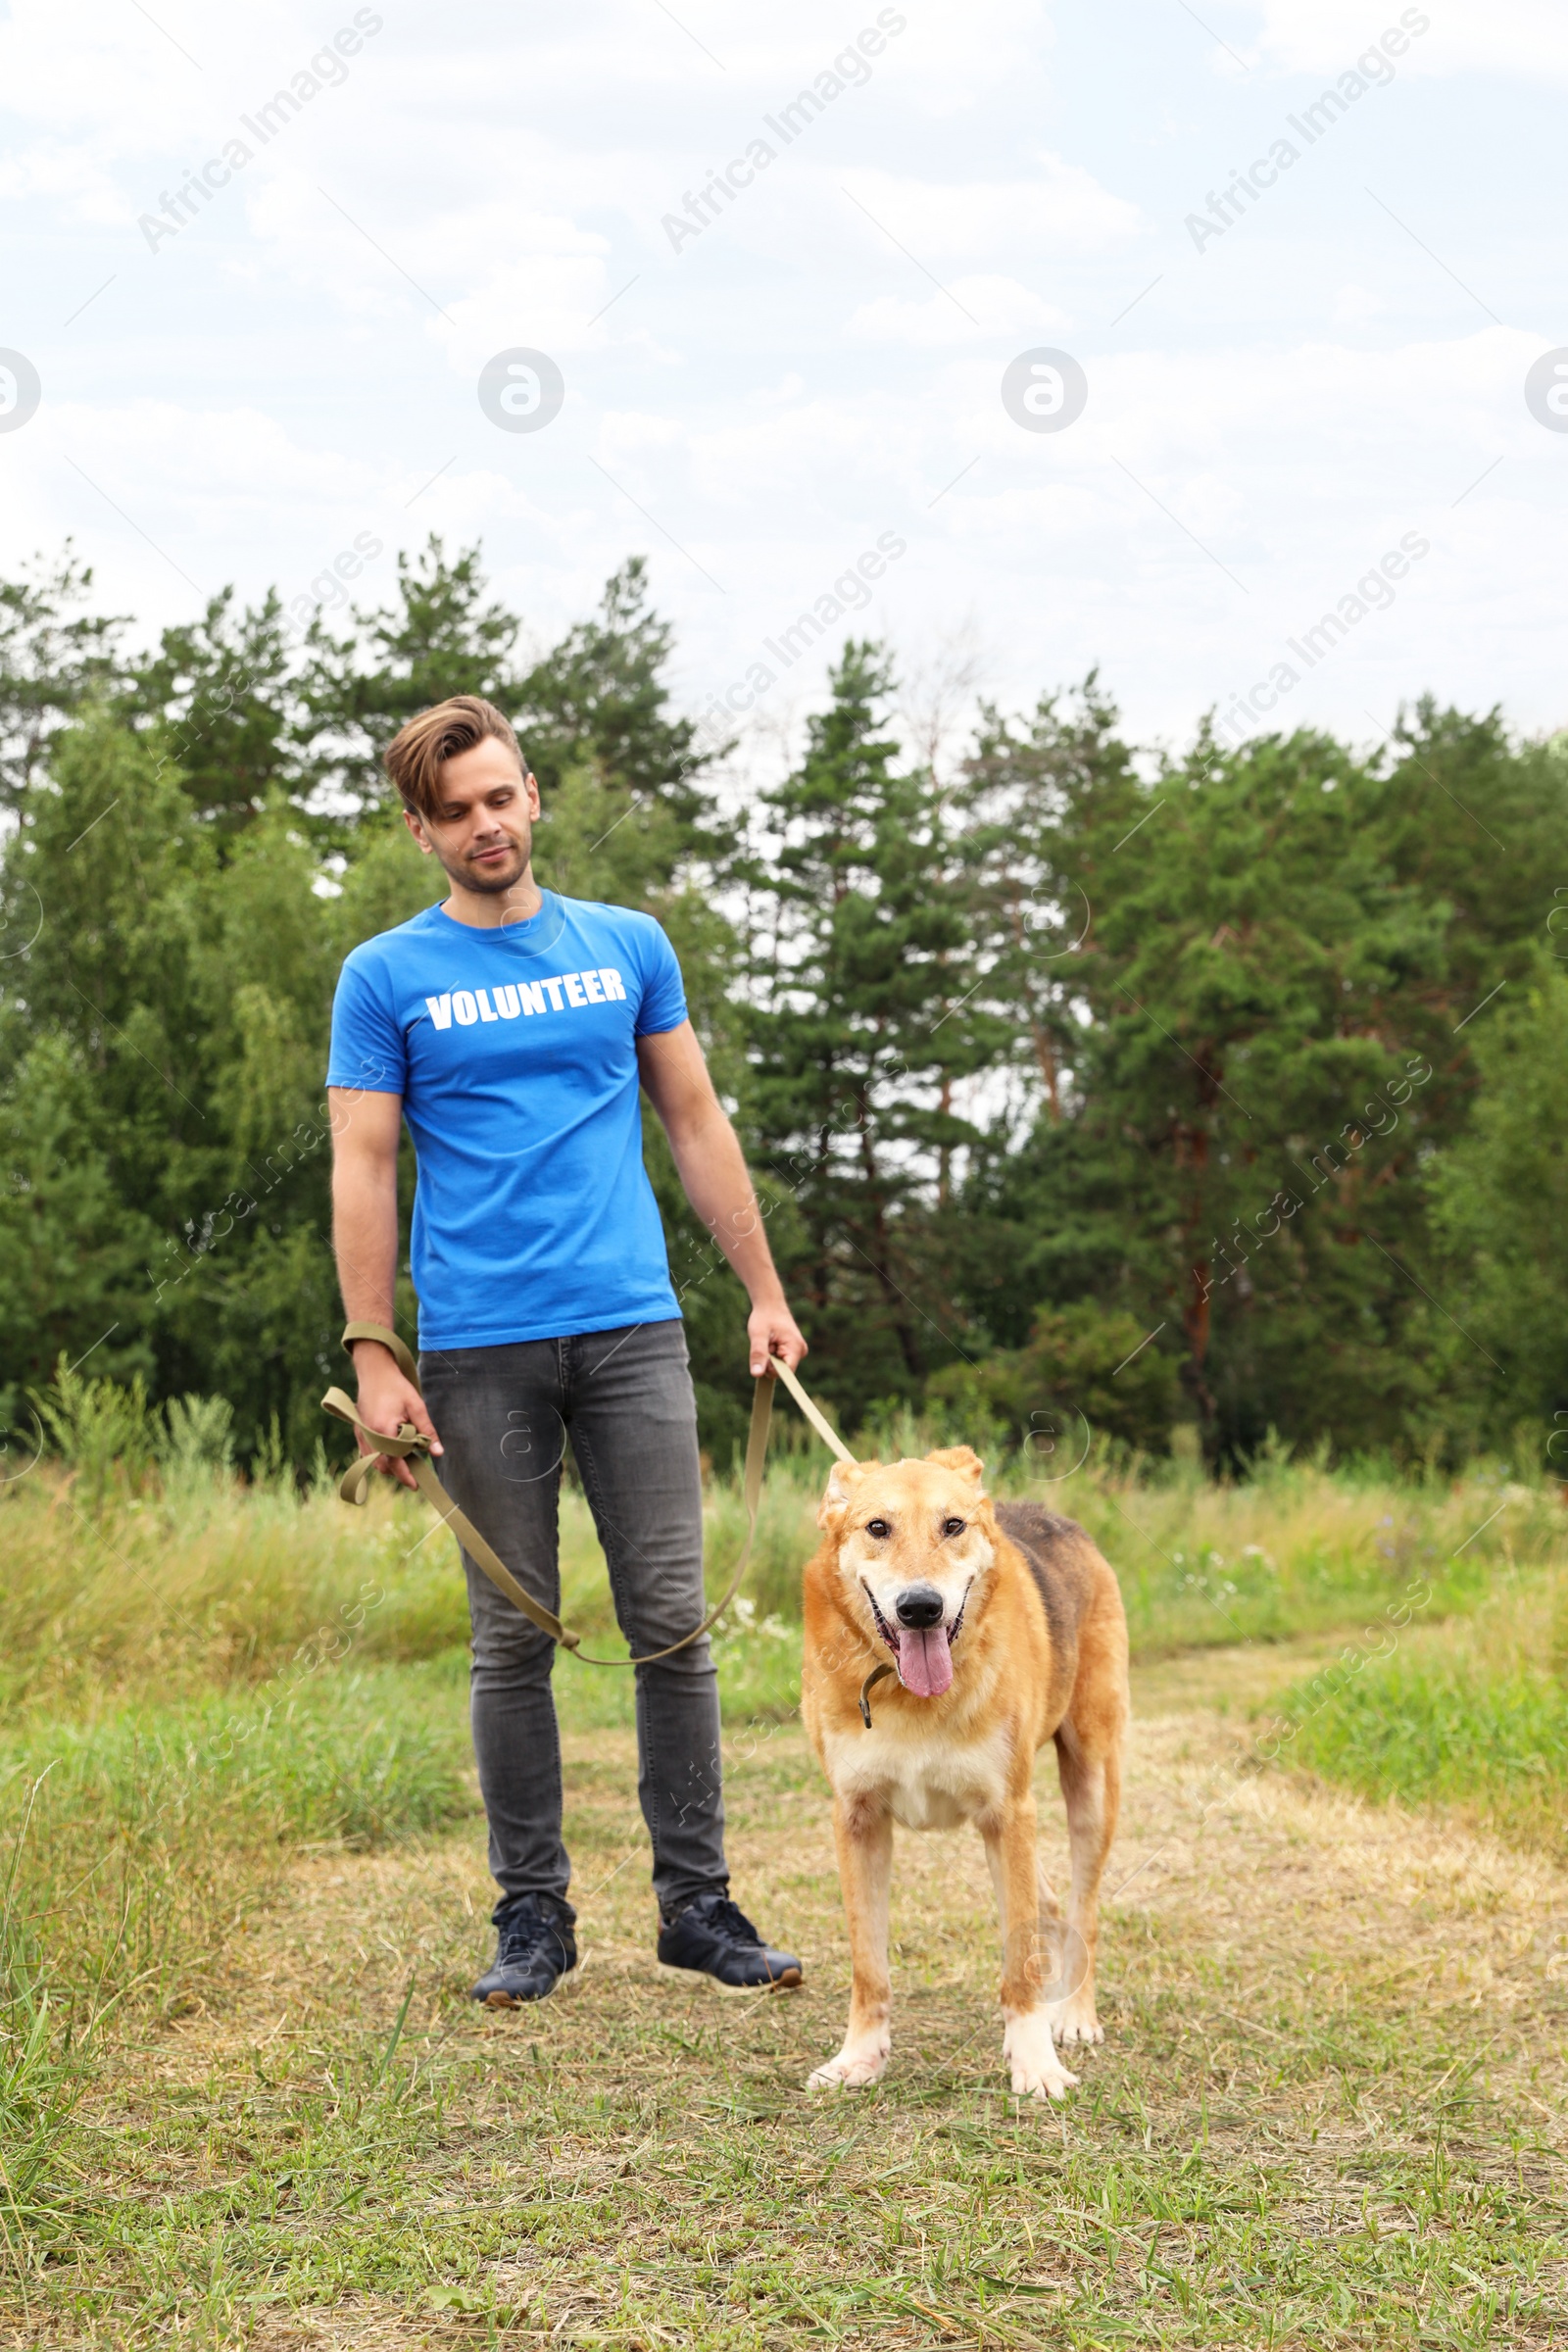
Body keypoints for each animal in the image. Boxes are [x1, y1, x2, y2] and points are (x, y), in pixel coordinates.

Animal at [804, 1439, 1123, 2107]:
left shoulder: (1009, 1813)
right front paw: (859, 2059)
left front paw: (1036, 2062)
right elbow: (868, 1966)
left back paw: (1074, 2013)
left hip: (1091, 1783)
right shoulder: (857, 1820)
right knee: (1049, 1904)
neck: (908, 1697)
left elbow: (1018, 1965)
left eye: (953, 1526)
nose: (920, 1608)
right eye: (877, 1528)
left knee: (1082, 1906)